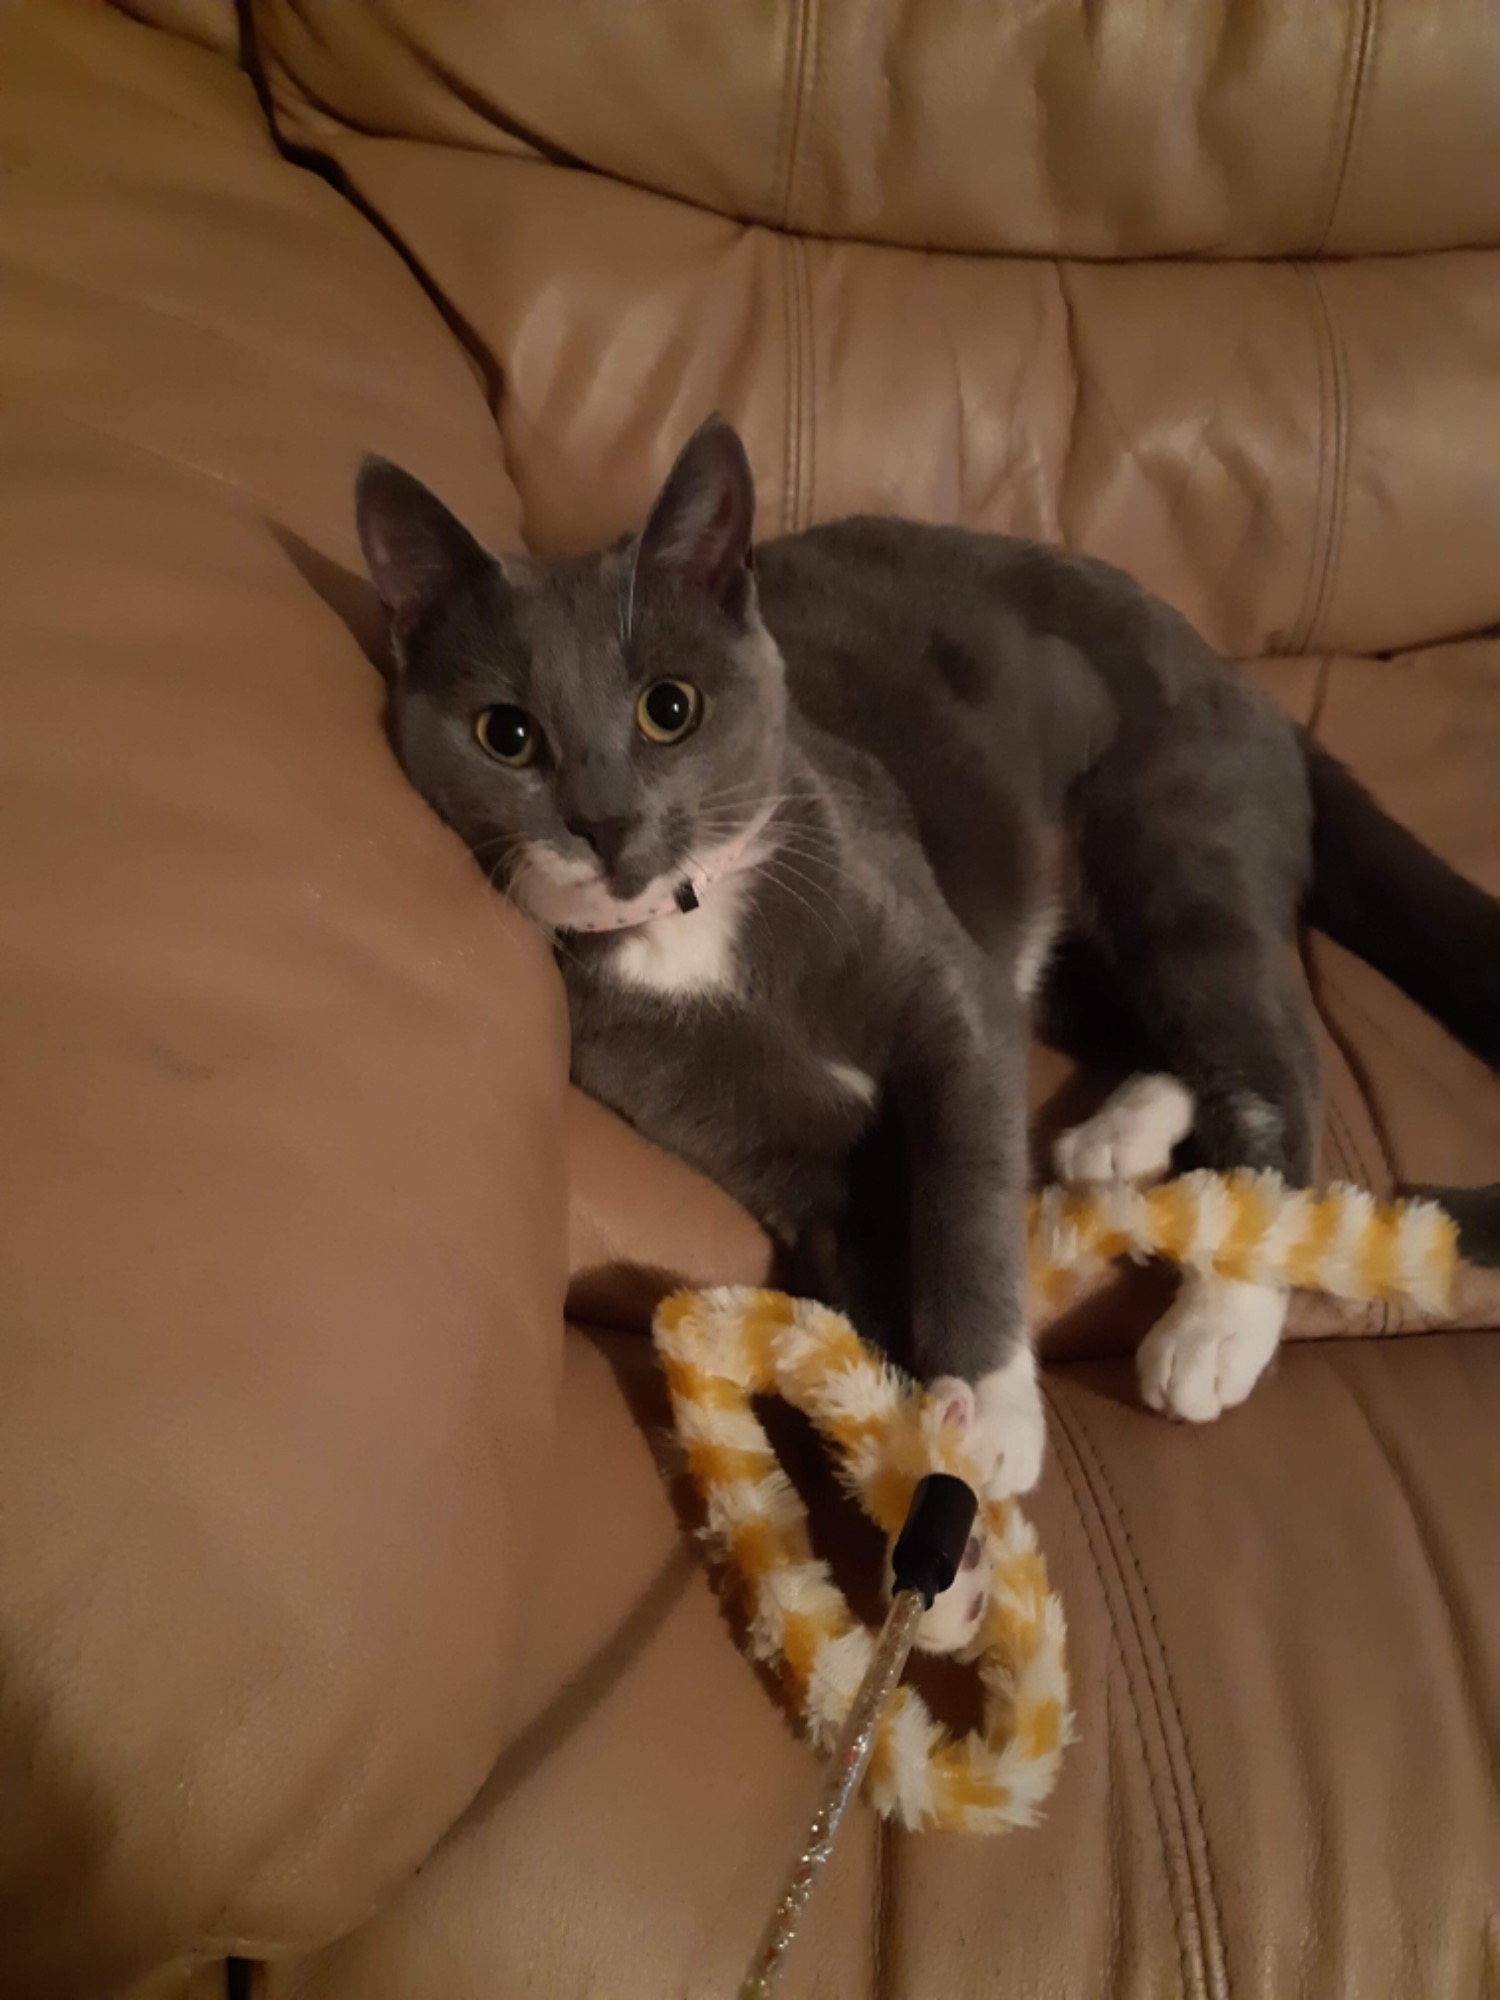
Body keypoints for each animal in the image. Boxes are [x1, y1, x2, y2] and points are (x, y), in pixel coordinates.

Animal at [356, 416, 1500, 1652]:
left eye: (670, 707)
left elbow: (961, 1187)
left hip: (1168, 831)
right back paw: (1117, 1134)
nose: (605, 824)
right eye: (506, 734)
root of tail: (1242, 680)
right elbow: (868, 1269)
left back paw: (1214, 1325)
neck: (693, 930)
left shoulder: (941, 988)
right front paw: (940, 1549)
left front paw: (990, 1416)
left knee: (1270, 1048)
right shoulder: (777, 1143)